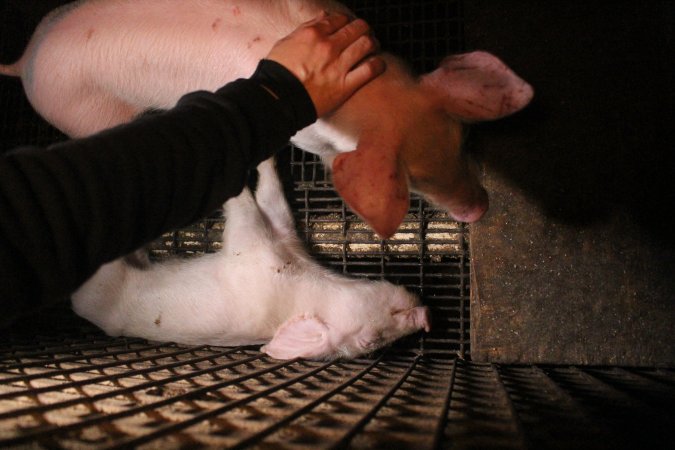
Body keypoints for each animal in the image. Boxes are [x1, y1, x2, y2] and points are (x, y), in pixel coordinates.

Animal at [1, 0, 532, 239]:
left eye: (463, 139)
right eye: (413, 181)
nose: (480, 210)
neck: (366, 94)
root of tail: (23, 62)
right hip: (87, 114)